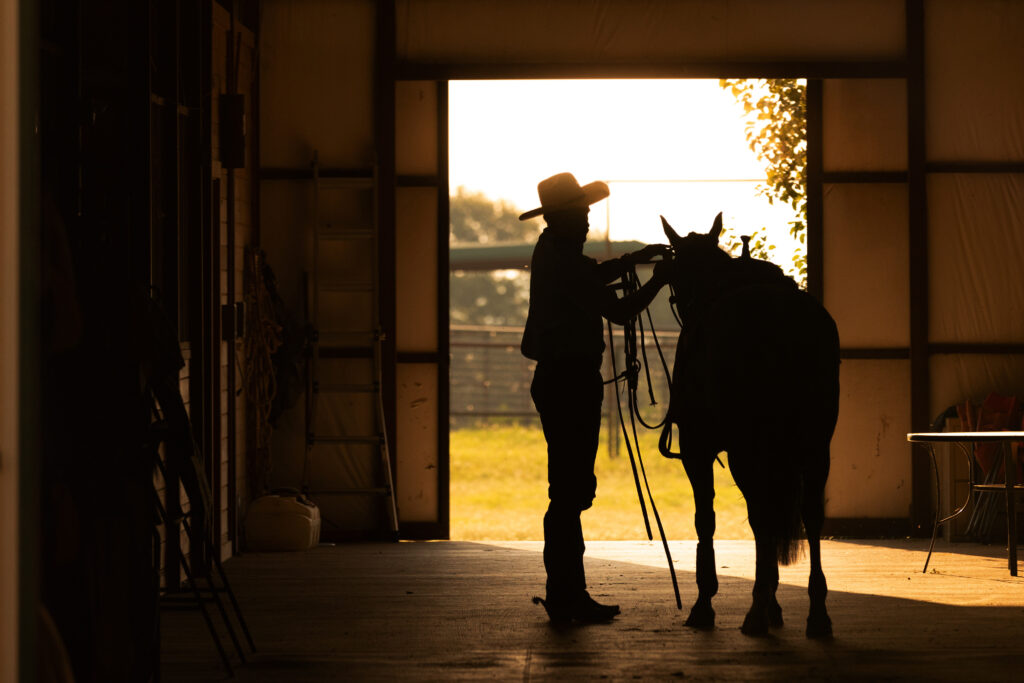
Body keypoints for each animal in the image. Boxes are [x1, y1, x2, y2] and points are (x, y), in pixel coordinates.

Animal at [655, 215, 839, 643]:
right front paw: (773, 602)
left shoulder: (697, 448)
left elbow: (706, 518)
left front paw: (706, 603)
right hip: (814, 445)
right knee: (810, 515)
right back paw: (816, 613)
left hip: (749, 448)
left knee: (761, 515)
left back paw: (757, 612)